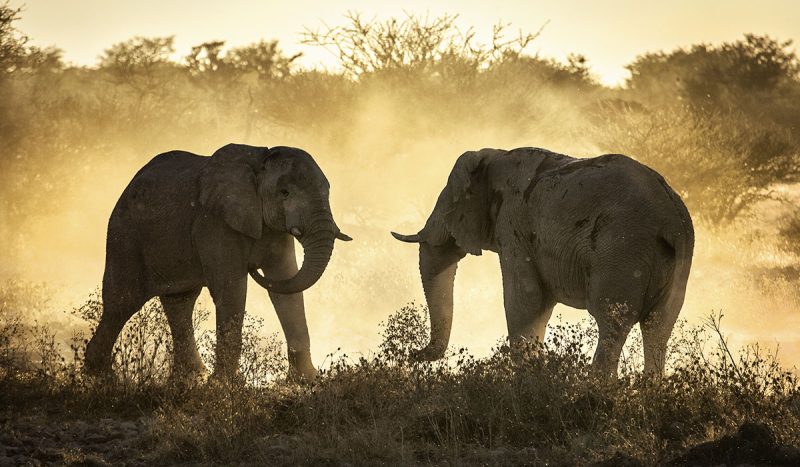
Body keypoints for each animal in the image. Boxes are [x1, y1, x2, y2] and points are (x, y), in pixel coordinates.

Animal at [84, 144, 351, 381]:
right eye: (284, 192)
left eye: (327, 191)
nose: (253, 267)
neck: (259, 161)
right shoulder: (214, 223)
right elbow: (232, 290)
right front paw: (225, 385)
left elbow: (286, 284)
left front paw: (308, 380)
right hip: (124, 236)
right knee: (122, 303)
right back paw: (103, 378)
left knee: (179, 303)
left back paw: (191, 378)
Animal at [392, 147, 694, 376]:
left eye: (447, 205)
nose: (412, 353)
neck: (496, 156)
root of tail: (672, 218)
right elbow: (540, 304)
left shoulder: (513, 224)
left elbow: (525, 299)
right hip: (676, 260)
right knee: (658, 326)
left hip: (621, 250)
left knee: (612, 322)